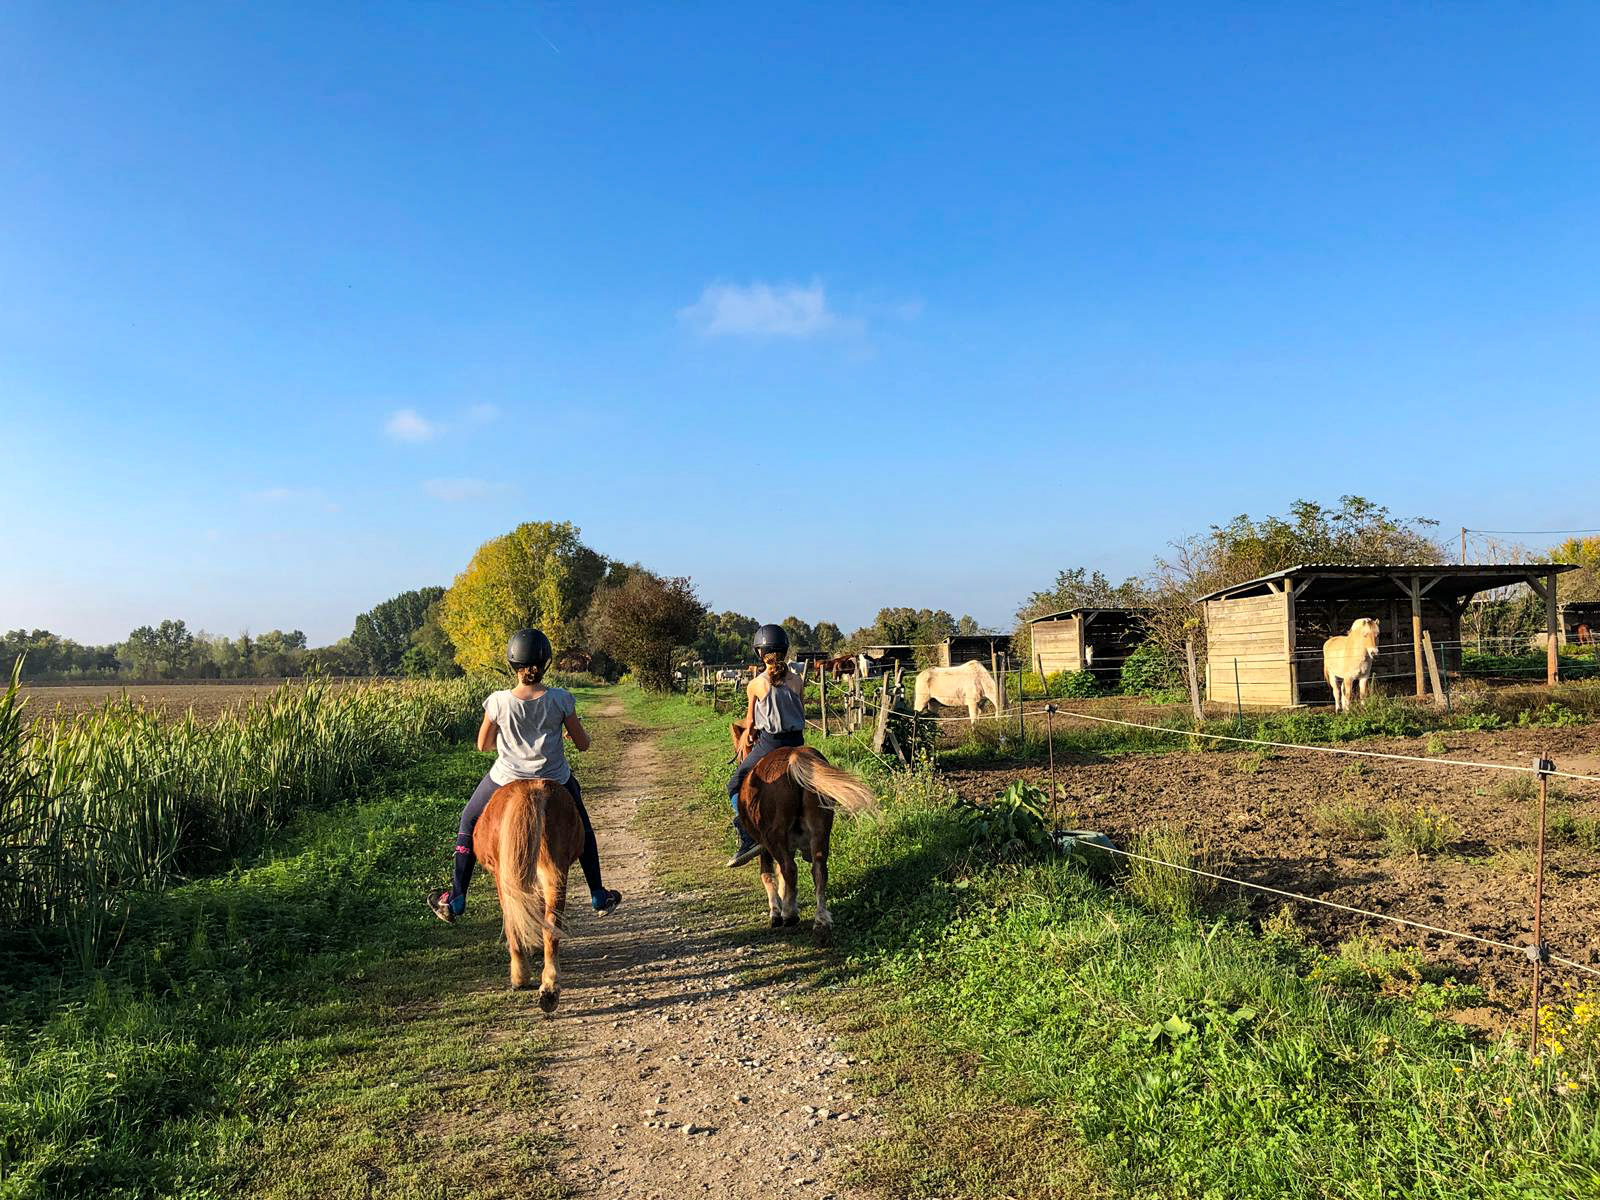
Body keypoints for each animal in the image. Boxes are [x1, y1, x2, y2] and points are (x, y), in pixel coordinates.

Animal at [470, 780, 585, 1017]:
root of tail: (533, 788)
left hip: (506, 877)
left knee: (512, 922)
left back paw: (520, 977)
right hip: (554, 873)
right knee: (550, 924)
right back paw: (549, 989)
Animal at [732, 723, 883, 947]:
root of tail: (795, 757)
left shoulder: (764, 846)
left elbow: (769, 875)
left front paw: (776, 912)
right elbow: (781, 876)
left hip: (774, 837)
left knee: (790, 869)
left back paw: (789, 914)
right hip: (820, 831)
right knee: (819, 871)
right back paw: (821, 922)